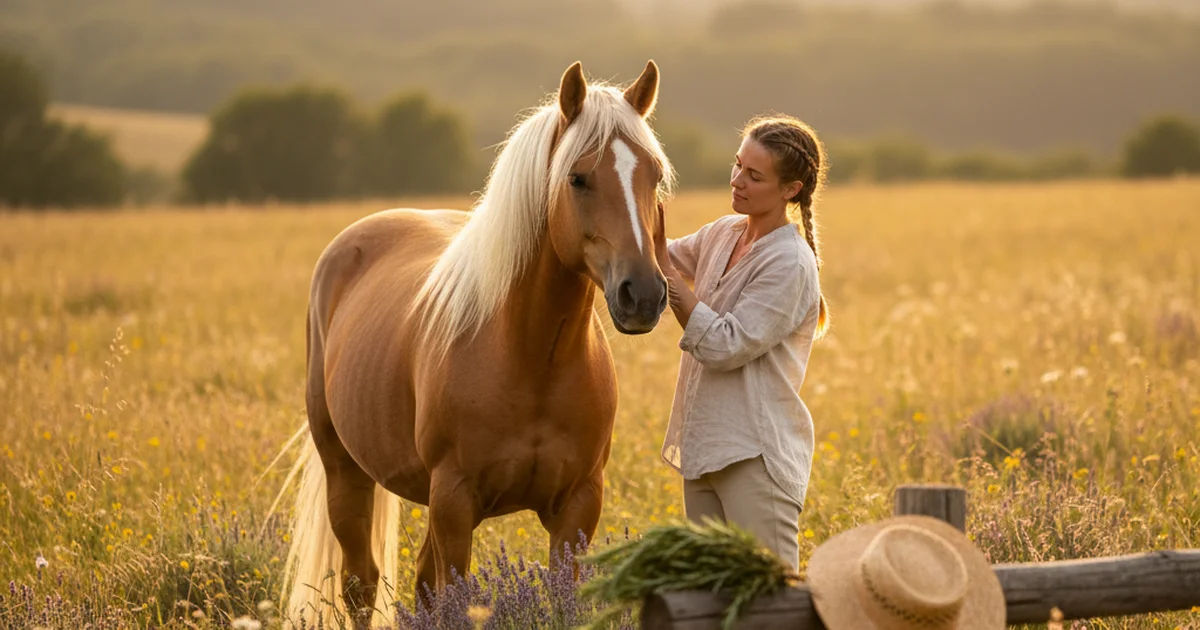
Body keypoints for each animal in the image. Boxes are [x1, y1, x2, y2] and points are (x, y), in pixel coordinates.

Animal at [275, 60, 674, 626]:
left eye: (654, 176)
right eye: (578, 178)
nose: (641, 294)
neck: (532, 359)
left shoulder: (578, 506)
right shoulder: (454, 501)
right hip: (346, 473)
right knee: (361, 586)